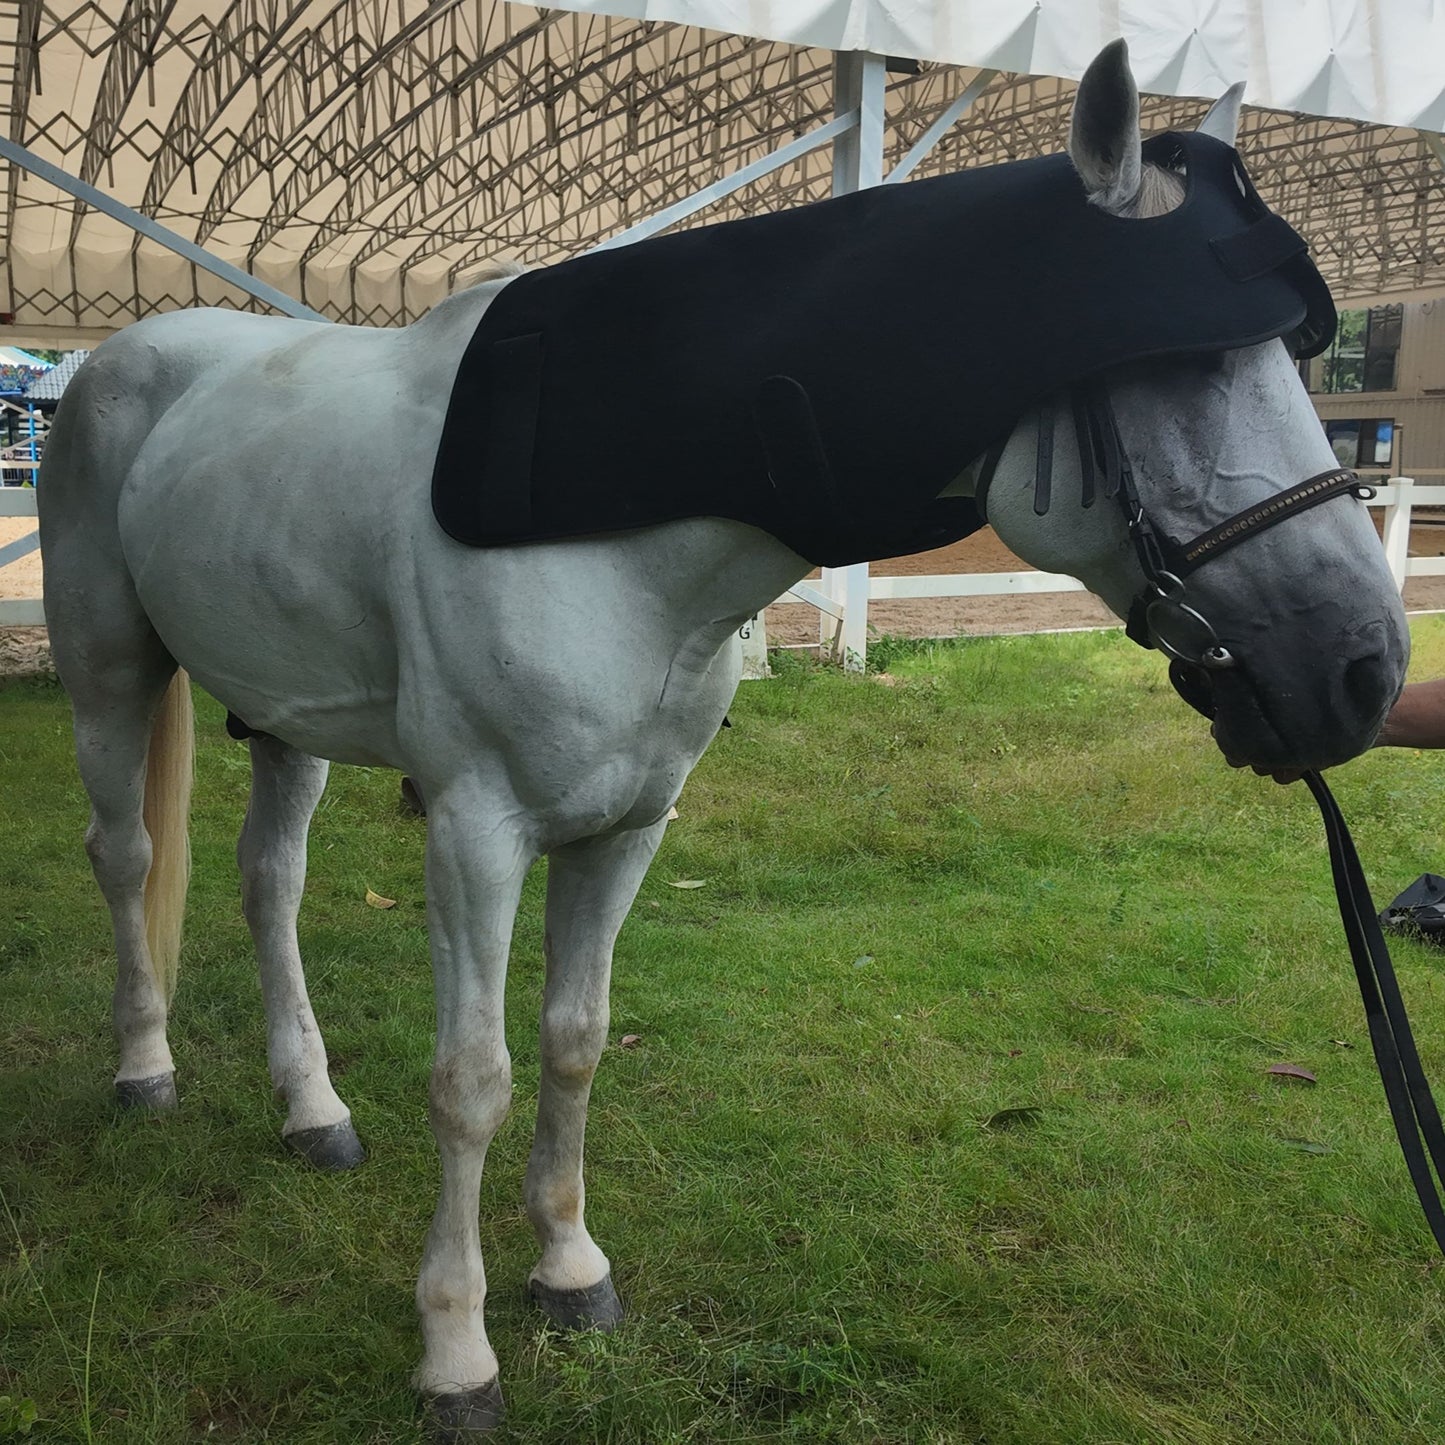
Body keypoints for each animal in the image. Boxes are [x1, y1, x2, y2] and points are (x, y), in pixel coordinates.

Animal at [36, 42, 1409, 1433]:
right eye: (1182, 372)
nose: (1362, 669)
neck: (616, 524)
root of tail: (114, 365)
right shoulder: (476, 831)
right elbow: (471, 1081)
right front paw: (456, 1348)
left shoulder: (626, 828)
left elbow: (574, 1041)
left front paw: (568, 1268)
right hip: (109, 673)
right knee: (126, 857)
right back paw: (143, 1069)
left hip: (285, 717)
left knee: (269, 881)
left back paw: (310, 1109)